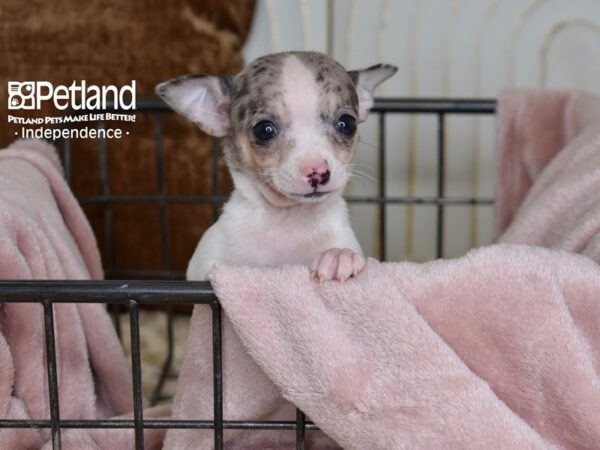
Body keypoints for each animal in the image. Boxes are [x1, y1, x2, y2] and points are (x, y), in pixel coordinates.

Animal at [157, 51, 396, 448]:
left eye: (346, 124)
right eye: (264, 130)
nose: (317, 171)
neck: (288, 220)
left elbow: (346, 255)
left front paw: (338, 259)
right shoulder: (202, 264)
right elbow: (212, 271)